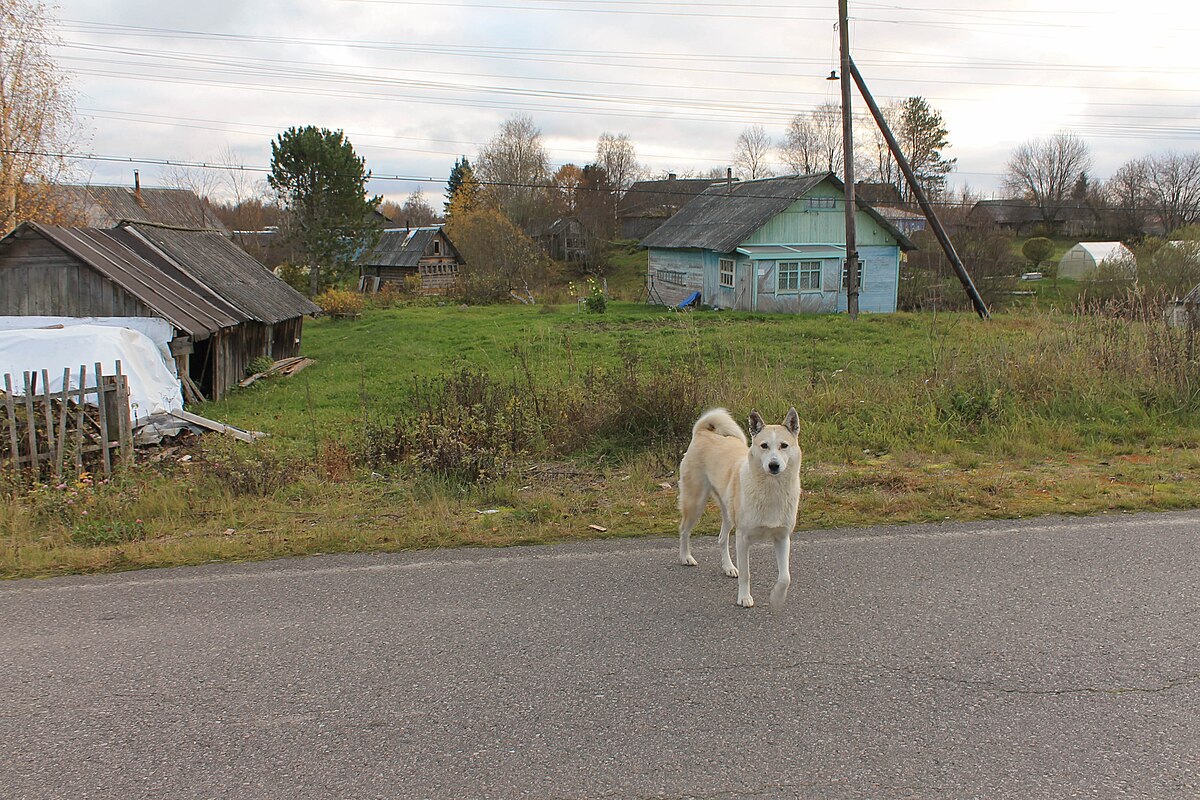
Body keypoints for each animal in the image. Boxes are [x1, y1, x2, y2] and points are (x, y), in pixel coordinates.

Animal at [681, 410, 801, 609]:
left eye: (784, 445)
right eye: (764, 445)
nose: (774, 465)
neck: (771, 489)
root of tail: (702, 433)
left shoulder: (782, 538)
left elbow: (785, 577)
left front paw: (777, 598)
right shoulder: (743, 539)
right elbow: (746, 574)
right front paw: (744, 598)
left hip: (728, 514)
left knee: (722, 539)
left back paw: (728, 567)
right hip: (695, 504)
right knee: (684, 531)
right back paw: (685, 557)